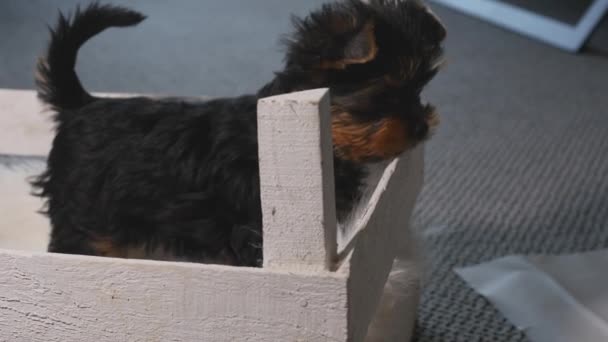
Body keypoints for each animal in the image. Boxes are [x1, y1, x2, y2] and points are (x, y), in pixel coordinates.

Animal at [33, 0, 446, 268]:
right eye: (385, 94)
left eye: (418, 89)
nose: (422, 126)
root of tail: (82, 104)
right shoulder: (255, 230)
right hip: (86, 211)